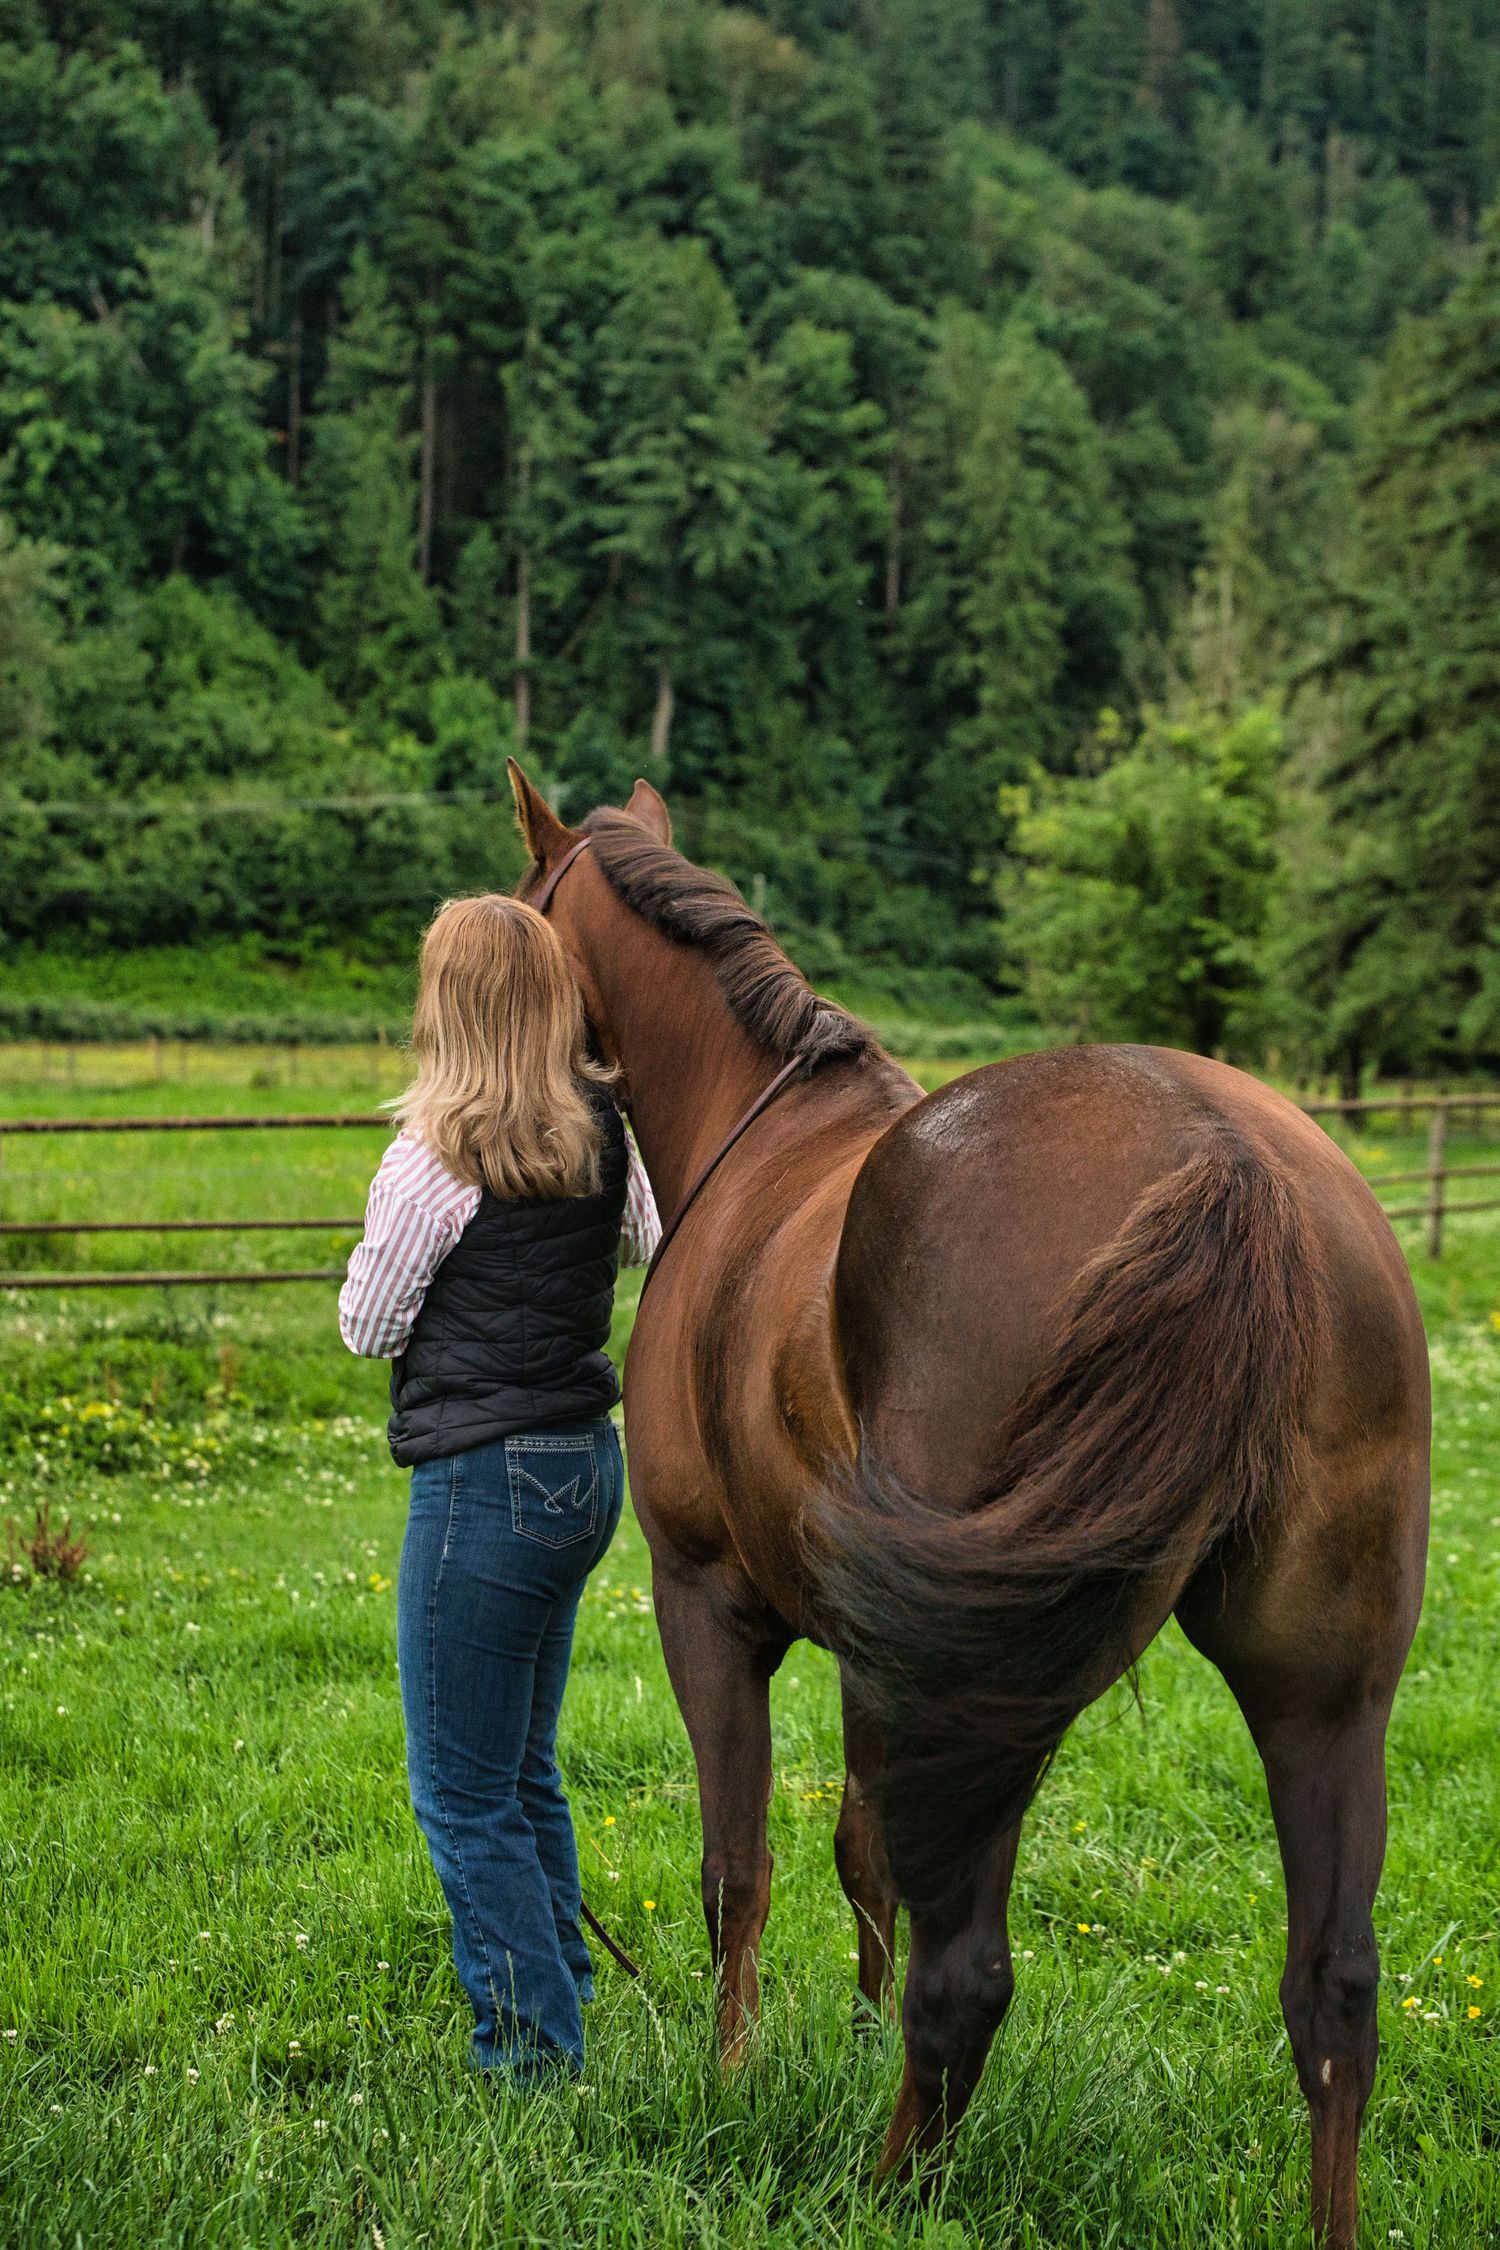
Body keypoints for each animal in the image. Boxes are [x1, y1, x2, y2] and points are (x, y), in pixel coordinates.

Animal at [509, 761, 1429, 2250]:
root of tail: (1228, 1162)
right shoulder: (870, 1647)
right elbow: (861, 1855)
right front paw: (842, 2031)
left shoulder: (707, 1601)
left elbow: (738, 1870)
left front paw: (734, 2075)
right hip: (1319, 1690)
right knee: (1333, 1987)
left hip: (992, 1685)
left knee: (971, 1974)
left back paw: (888, 2190)